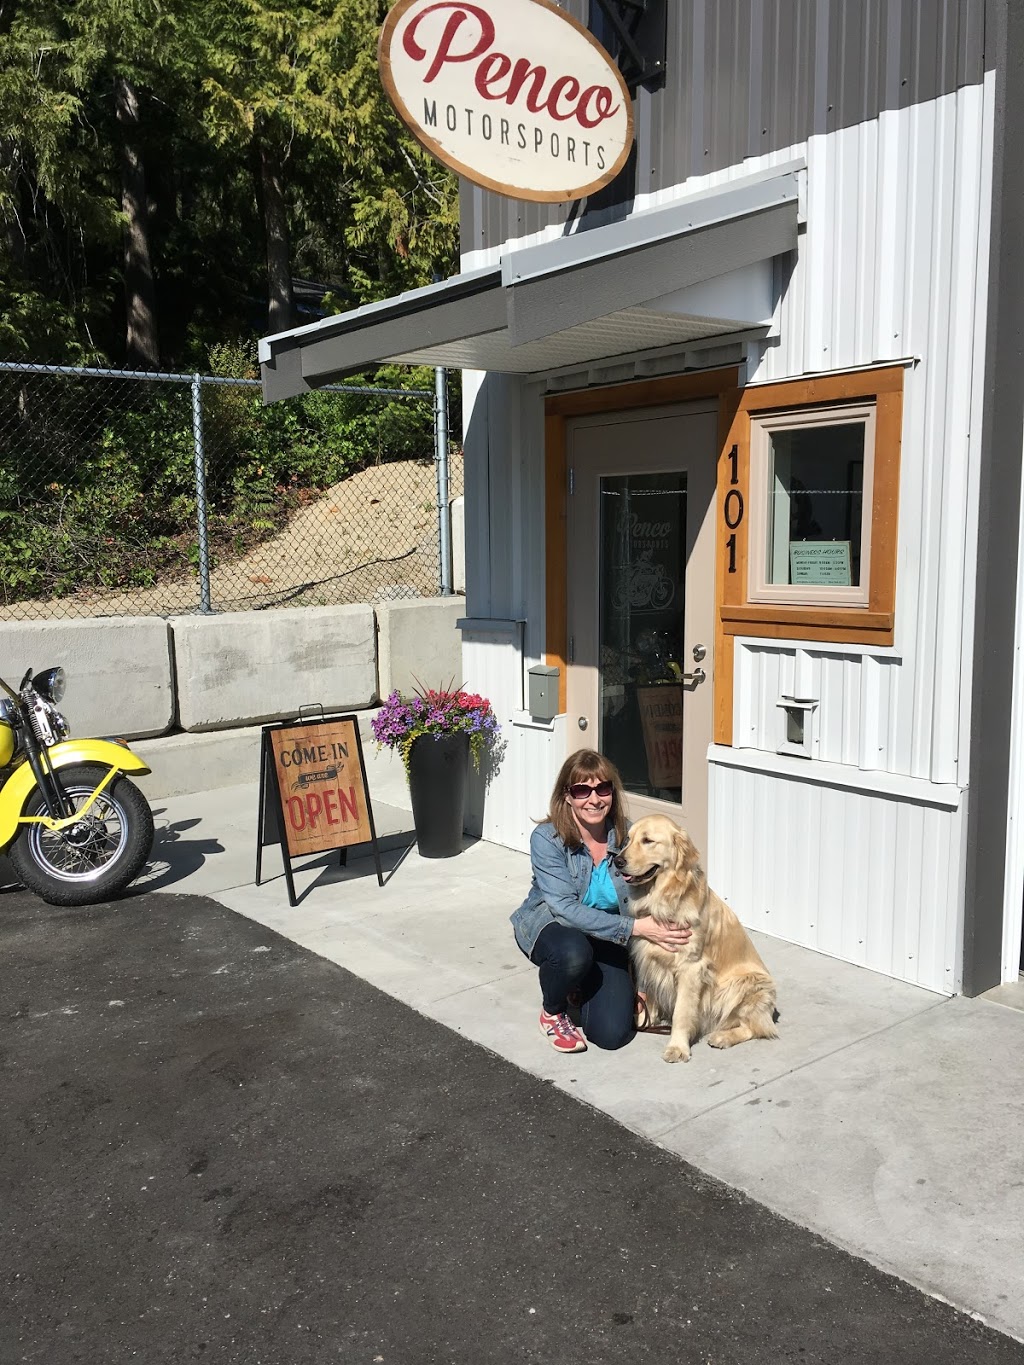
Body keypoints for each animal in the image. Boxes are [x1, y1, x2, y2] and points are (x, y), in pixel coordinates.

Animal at [614, 814, 778, 1063]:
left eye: (648, 840)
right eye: (628, 840)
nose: (617, 861)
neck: (663, 898)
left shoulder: (691, 967)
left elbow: (681, 1012)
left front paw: (678, 1047)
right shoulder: (648, 958)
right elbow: (649, 996)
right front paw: (643, 1020)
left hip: (747, 984)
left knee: (757, 1027)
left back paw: (723, 1037)